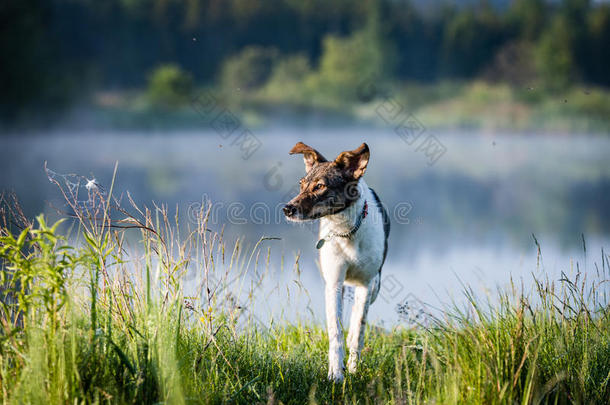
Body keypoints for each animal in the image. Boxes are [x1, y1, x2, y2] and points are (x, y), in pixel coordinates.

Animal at [282, 140, 388, 380]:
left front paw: (353, 368)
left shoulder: (366, 284)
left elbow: (358, 331)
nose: (287, 209)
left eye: (320, 186)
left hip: (374, 288)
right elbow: (335, 332)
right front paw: (336, 373)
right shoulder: (333, 283)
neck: (346, 230)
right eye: (302, 184)